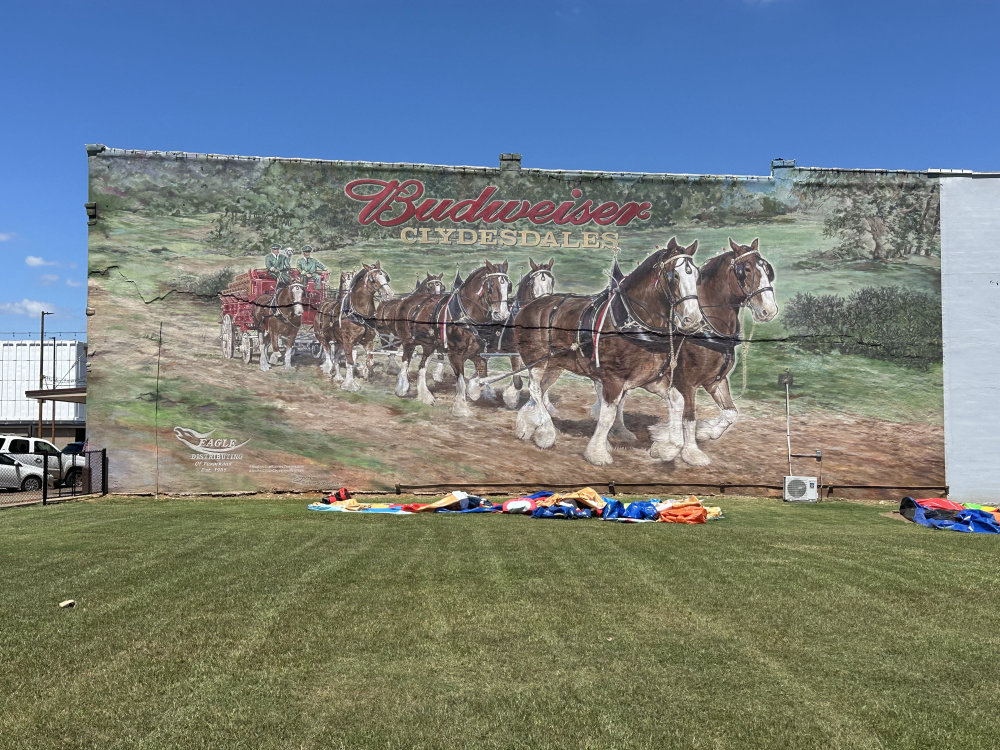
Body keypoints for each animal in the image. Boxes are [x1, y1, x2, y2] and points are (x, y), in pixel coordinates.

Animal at [314, 262, 392, 390]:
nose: (389, 294)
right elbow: (349, 362)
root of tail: (323, 302)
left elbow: (369, 361)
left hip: (338, 341)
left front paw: (366, 374)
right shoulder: (348, 342)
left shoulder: (368, 341)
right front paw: (350, 385)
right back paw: (329, 369)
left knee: (335, 357)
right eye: (372, 279)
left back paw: (338, 376)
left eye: (385, 277)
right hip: (321, 336)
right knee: (328, 353)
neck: (358, 315)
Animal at [388, 262, 512, 420]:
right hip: (408, 341)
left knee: (422, 366)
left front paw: (475, 391)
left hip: (429, 345)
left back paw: (425, 396)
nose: (502, 314)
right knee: (405, 360)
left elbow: (483, 377)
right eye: (490, 286)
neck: (465, 316)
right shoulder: (455, 354)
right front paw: (461, 408)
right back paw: (402, 388)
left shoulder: (478, 355)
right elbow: (461, 381)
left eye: (509, 286)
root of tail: (406, 300)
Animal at [516, 238, 704, 468]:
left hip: (554, 365)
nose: (693, 319)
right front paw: (597, 453)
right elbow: (607, 415)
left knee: (540, 391)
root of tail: (529, 305)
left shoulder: (650, 378)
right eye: (673, 275)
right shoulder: (613, 378)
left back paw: (527, 425)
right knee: (534, 388)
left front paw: (667, 448)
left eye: (696, 275)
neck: (632, 322)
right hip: (536, 361)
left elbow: (677, 401)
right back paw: (546, 433)